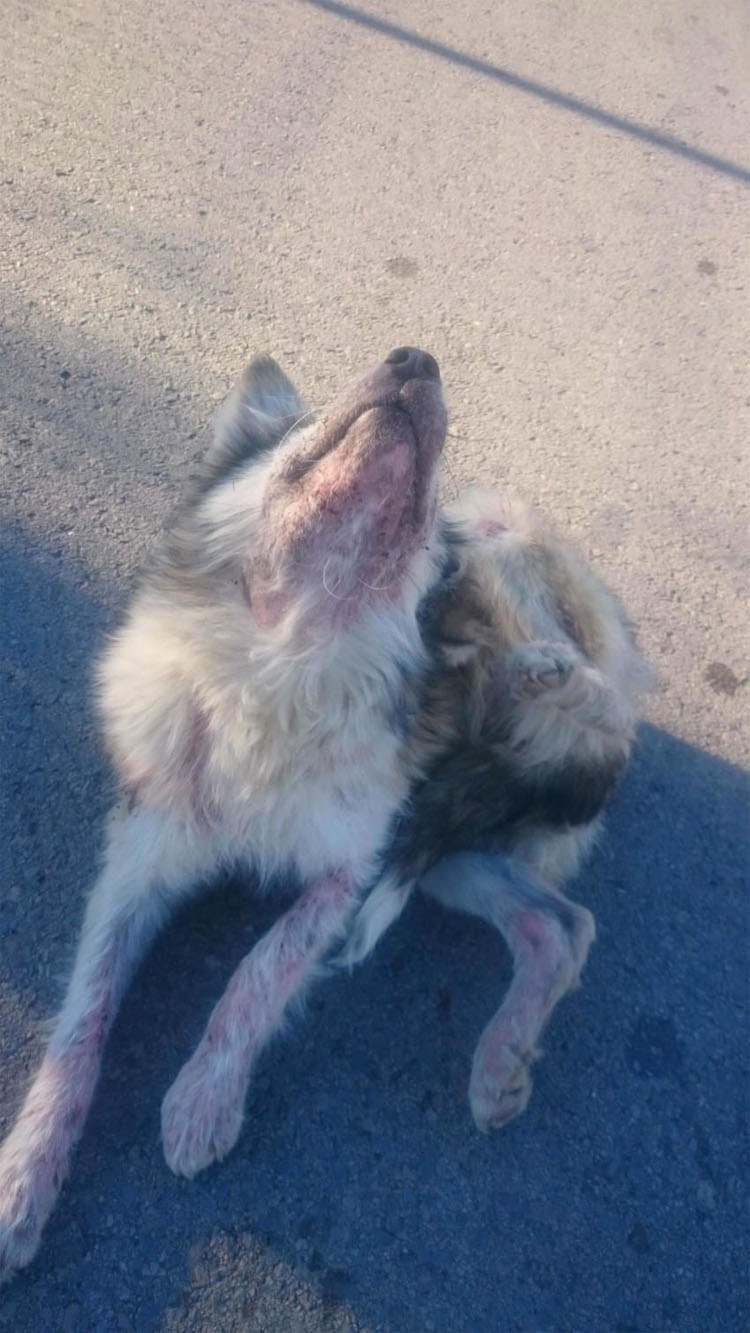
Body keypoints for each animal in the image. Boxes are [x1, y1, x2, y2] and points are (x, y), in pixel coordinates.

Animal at [0, 349, 644, 1274]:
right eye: (302, 426)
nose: (415, 359)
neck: (286, 661)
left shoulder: (349, 871)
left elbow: (259, 970)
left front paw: (202, 1100)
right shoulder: (138, 861)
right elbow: (81, 1019)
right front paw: (26, 1172)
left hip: (498, 552)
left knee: (609, 715)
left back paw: (544, 672)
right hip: (451, 853)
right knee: (560, 924)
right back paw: (500, 1063)